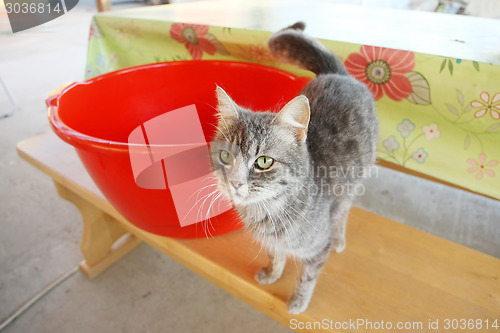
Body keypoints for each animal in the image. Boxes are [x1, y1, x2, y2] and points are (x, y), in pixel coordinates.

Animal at [209, 22, 376, 312]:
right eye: (226, 157)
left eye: (264, 162)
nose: (235, 182)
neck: (268, 212)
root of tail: (338, 74)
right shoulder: (273, 243)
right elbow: (276, 254)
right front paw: (272, 272)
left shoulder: (317, 249)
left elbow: (307, 277)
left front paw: (298, 301)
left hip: (355, 183)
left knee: (343, 211)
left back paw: (340, 238)